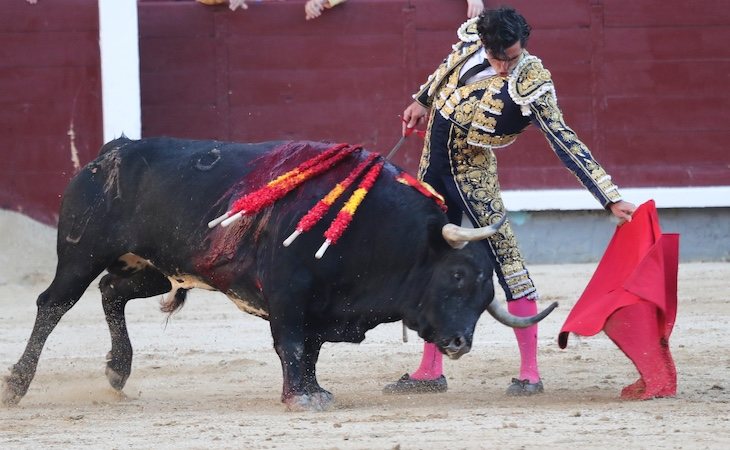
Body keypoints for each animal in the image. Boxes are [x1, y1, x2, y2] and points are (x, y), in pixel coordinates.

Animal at [2, 137, 556, 412]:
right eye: (458, 276)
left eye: (486, 294)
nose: (461, 342)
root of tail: (106, 154)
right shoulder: (290, 296)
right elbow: (290, 345)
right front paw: (301, 398)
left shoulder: (320, 307)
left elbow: (309, 350)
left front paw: (314, 390)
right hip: (82, 252)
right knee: (53, 303)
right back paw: (17, 385)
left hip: (155, 269)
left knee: (111, 292)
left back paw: (118, 370)